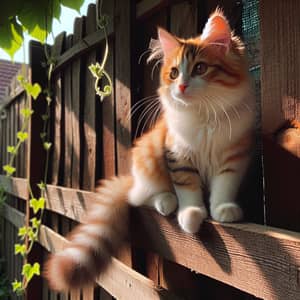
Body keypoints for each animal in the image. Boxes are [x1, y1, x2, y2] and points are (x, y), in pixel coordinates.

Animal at [44, 8, 254, 290]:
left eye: (200, 68)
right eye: (174, 73)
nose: (182, 86)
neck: (203, 115)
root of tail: (132, 178)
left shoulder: (234, 155)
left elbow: (224, 185)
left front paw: (223, 209)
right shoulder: (177, 154)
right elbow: (188, 189)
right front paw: (190, 215)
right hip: (148, 158)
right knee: (141, 197)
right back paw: (166, 201)